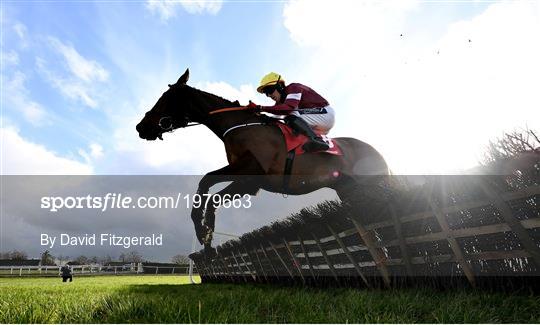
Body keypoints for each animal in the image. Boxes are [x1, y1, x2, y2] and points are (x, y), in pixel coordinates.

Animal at [135, 69, 388, 253]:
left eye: (165, 99)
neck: (239, 126)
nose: (141, 127)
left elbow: (207, 183)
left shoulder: (250, 172)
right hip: (348, 190)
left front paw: (202, 229)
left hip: (369, 185)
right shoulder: (249, 183)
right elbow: (211, 193)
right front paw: (206, 235)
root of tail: (377, 152)